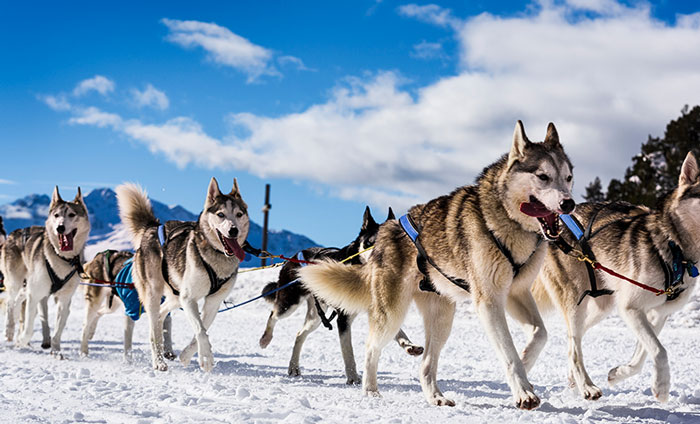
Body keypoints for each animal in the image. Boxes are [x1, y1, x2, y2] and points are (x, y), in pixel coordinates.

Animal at [0, 187, 90, 356]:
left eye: (71, 214)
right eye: (56, 215)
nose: (60, 227)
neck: (62, 257)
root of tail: (15, 233)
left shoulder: (64, 300)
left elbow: (58, 329)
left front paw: (56, 351)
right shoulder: (35, 295)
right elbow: (28, 328)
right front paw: (21, 341)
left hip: (29, 285)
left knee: (18, 300)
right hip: (16, 282)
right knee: (10, 303)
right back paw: (9, 330)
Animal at [119, 178, 250, 372]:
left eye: (239, 214)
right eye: (220, 214)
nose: (233, 230)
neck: (216, 256)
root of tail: (152, 228)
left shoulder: (212, 303)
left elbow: (202, 329)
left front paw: (187, 355)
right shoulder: (189, 299)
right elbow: (200, 330)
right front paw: (206, 358)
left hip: (175, 296)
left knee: (161, 315)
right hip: (154, 293)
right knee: (153, 330)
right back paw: (158, 361)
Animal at [258, 206, 422, 384]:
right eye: (370, 243)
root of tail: (293, 257)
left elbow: (398, 331)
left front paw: (409, 345)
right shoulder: (343, 318)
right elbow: (348, 350)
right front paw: (353, 377)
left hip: (316, 317)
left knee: (299, 334)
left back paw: (293, 366)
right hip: (290, 302)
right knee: (273, 315)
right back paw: (265, 338)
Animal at [300, 121, 576, 408]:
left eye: (568, 177)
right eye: (543, 176)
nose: (569, 203)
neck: (508, 220)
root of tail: (385, 233)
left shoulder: (516, 292)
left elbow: (540, 334)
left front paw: (525, 365)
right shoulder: (489, 300)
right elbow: (507, 350)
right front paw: (523, 390)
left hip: (442, 319)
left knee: (425, 364)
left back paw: (435, 396)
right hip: (392, 312)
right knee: (370, 348)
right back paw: (370, 389)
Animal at [532, 152, 700, 400]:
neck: (674, 247)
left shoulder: (656, 314)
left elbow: (643, 354)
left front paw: (619, 374)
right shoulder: (630, 307)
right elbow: (659, 350)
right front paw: (661, 386)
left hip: (601, 306)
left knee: (572, 340)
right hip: (575, 302)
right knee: (574, 346)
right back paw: (585, 385)